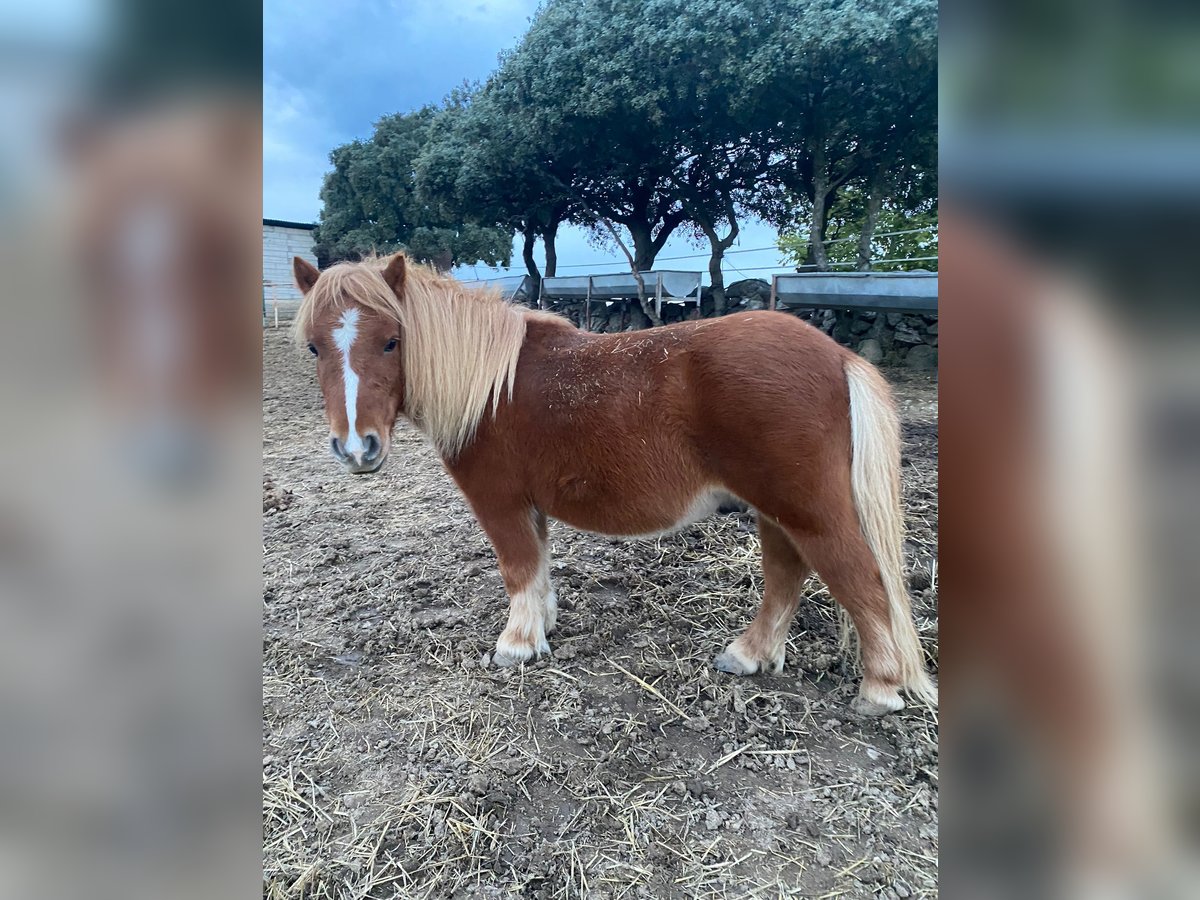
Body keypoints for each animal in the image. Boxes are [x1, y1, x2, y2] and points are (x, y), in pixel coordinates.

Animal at [292, 250, 936, 715]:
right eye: (314, 347)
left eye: (391, 341)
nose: (356, 448)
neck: (491, 385)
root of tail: (837, 356)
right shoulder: (531, 507)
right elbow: (538, 569)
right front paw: (543, 626)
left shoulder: (500, 503)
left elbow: (518, 570)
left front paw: (516, 646)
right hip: (776, 508)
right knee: (786, 575)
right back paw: (749, 656)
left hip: (808, 509)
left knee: (862, 582)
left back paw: (879, 691)